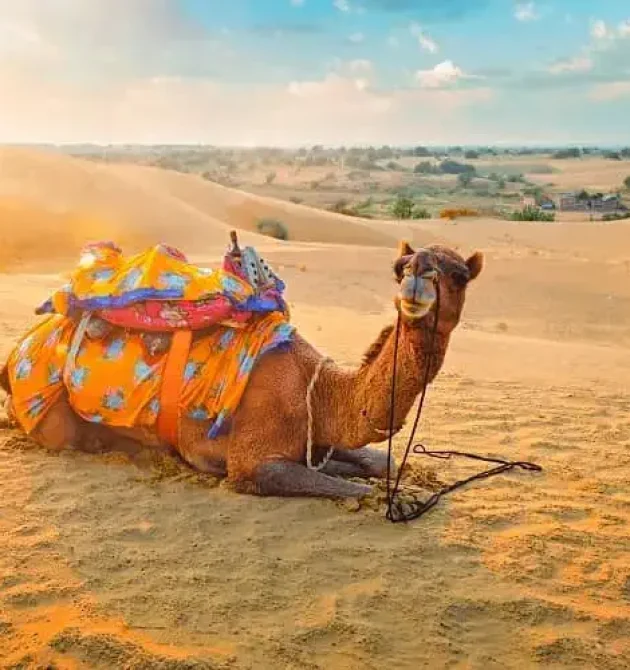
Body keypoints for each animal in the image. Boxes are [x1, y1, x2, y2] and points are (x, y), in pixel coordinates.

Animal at [0, 241, 483, 499]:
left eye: (459, 275)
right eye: (400, 268)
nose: (417, 276)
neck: (317, 390)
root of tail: (18, 350)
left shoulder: (316, 440)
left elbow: (375, 460)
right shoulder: (251, 463)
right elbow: (359, 489)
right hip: (51, 418)